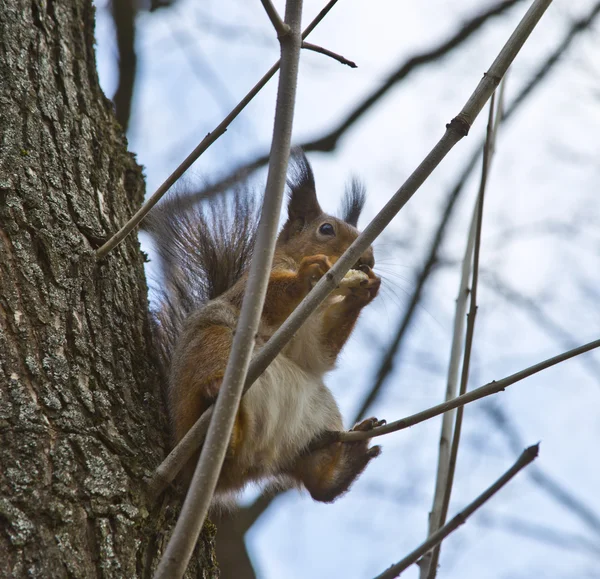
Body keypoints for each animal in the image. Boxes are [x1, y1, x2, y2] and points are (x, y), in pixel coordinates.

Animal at [149, 153, 384, 502]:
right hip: (213, 348)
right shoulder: (254, 284)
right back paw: (220, 415)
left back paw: (344, 464)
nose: (367, 260)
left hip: (317, 413)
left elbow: (318, 352)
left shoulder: (311, 337)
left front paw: (363, 292)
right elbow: (272, 296)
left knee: (317, 483)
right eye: (326, 229)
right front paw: (308, 273)